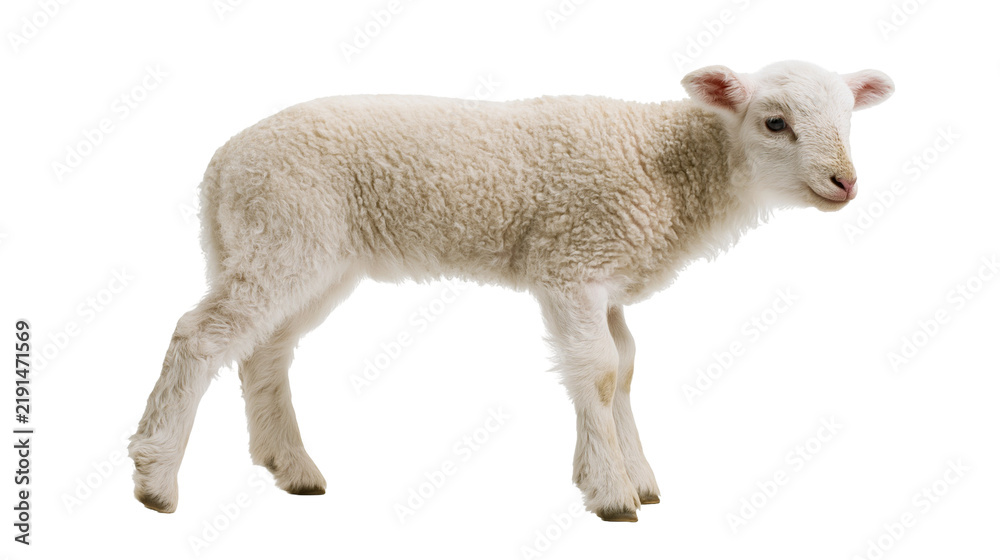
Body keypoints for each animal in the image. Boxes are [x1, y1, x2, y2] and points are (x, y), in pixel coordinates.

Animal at [129, 60, 894, 520]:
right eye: (774, 122)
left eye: (850, 121)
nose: (845, 182)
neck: (674, 168)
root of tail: (220, 166)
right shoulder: (572, 263)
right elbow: (599, 372)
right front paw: (612, 492)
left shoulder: (605, 280)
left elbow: (625, 370)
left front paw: (635, 475)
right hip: (284, 230)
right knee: (201, 336)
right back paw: (157, 478)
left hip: (305, 252)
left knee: (265, 351)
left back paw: (291, 467)